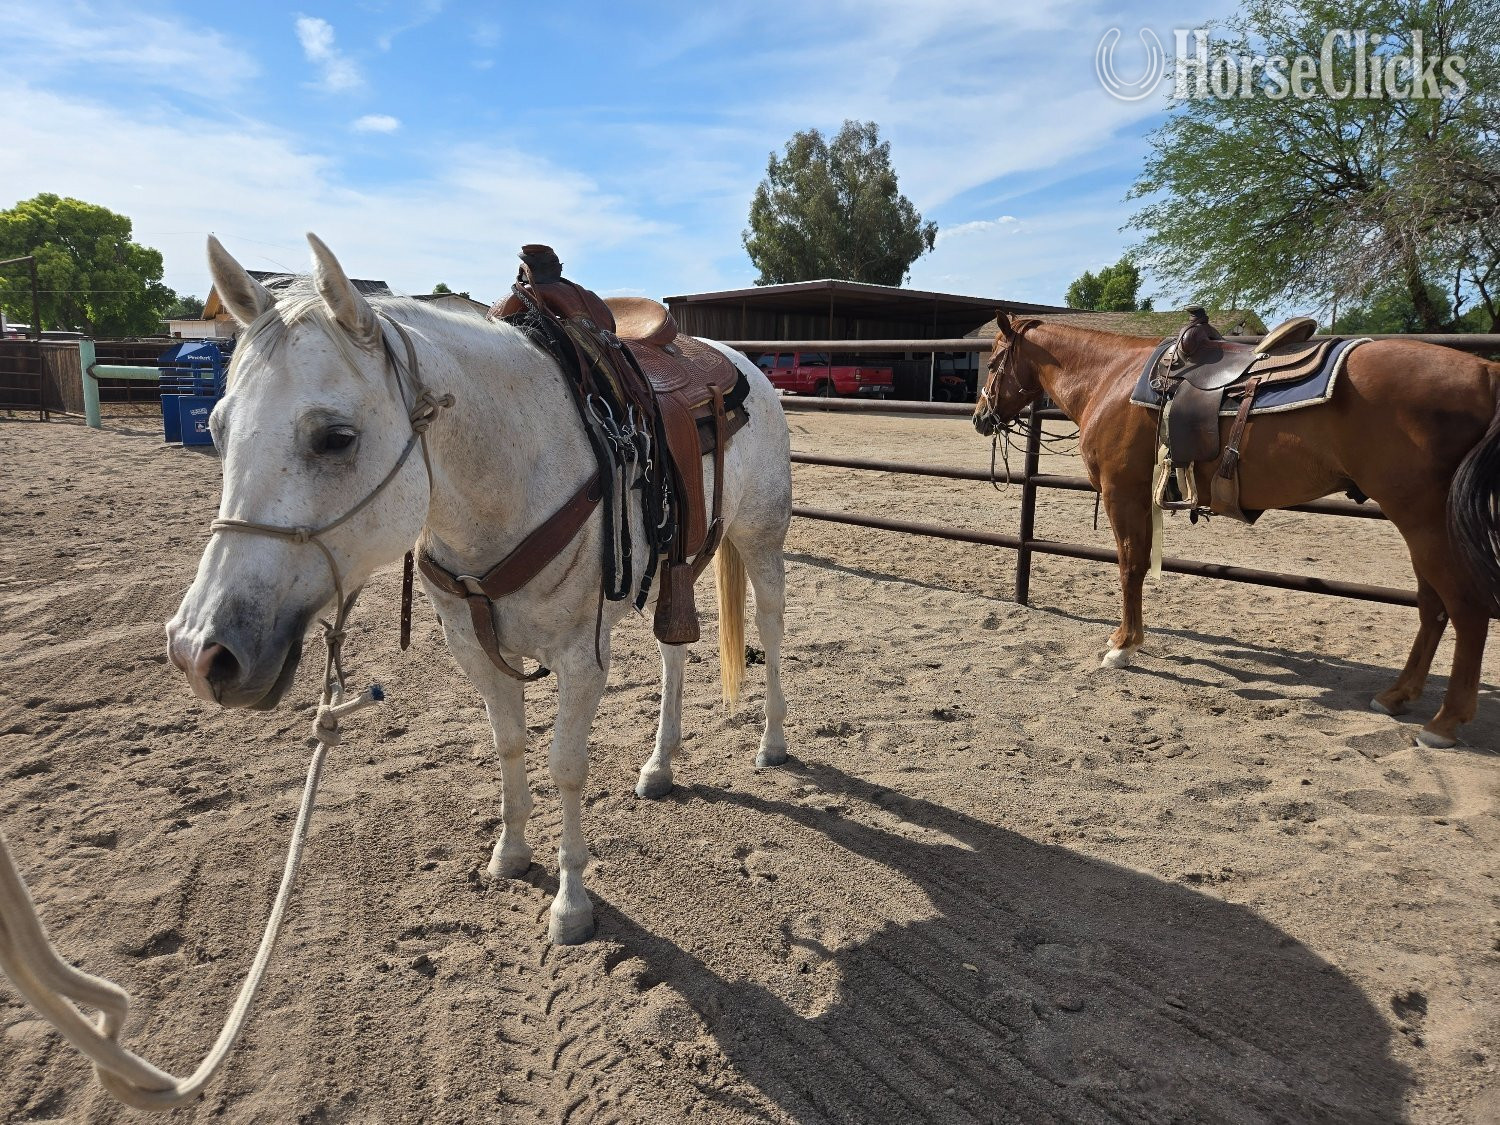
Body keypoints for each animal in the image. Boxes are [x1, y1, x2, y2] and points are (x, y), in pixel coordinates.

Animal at [166, 234, 793, 944]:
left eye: (336, 437)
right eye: (215, 429)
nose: (200, 651)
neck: (514, 471)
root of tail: (743, 366)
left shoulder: (581, 659)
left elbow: (565, 765)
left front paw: (571, 904)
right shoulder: (477, 650)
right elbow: (509, 743)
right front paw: (511, 854)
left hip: (760, 539)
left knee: (769, 628)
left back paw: (772, 744)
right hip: (674, 570)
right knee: (674, 652)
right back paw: (660, 766)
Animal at [973, 312, 1500, 749]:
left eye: (995, 360)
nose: (980, 417)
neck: (1111, 377)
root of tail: (1484, 372)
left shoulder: (1124, 493)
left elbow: (1130, 566)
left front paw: (1123, 645)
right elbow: (1139, 565)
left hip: (1424, 520)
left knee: (1466, 608)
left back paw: (1445, 722)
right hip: (1419, 525)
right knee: (1433, 608)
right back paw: (1397, 695)